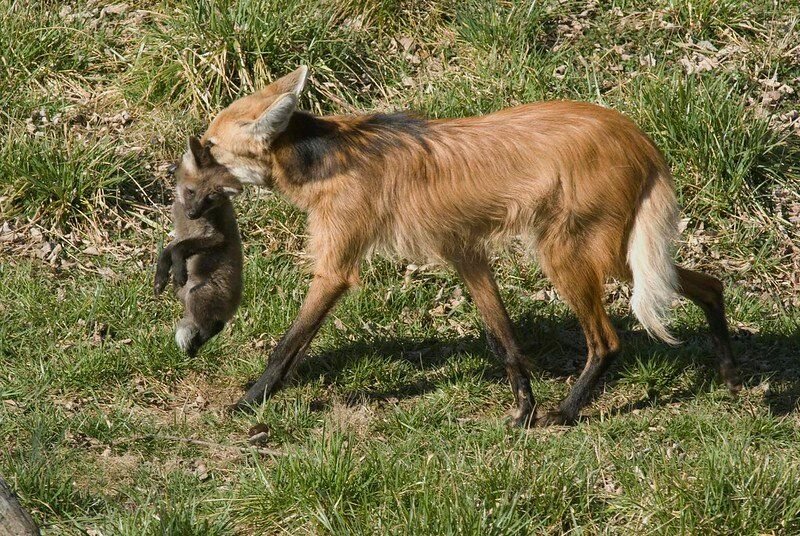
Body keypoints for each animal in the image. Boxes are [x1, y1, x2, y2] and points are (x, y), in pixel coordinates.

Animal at [155, 136, 244, 358]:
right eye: (191, 192)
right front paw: (160, 279)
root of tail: (235, 305)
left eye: (209, 200)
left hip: (198, 295)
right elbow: (167, 252)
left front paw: (179, 272)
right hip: (184, 296)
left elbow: (178, 250)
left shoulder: (215, 237)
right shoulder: (181, 236)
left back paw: (195, 346)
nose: (193, 214)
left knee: (216, 326)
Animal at [198, 68, 736, 428]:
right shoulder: (466, 254)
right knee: (708, 284)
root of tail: (637, 136)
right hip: (620, 254)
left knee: (607, 341)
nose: (183, 162)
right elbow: (505, 341)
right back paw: (727, 368)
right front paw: (523, 407)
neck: (324, 159)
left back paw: (566, 411)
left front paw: (249, 400)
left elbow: (289, 344)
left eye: (209, 146)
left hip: (568, 252)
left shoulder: (336, 268)